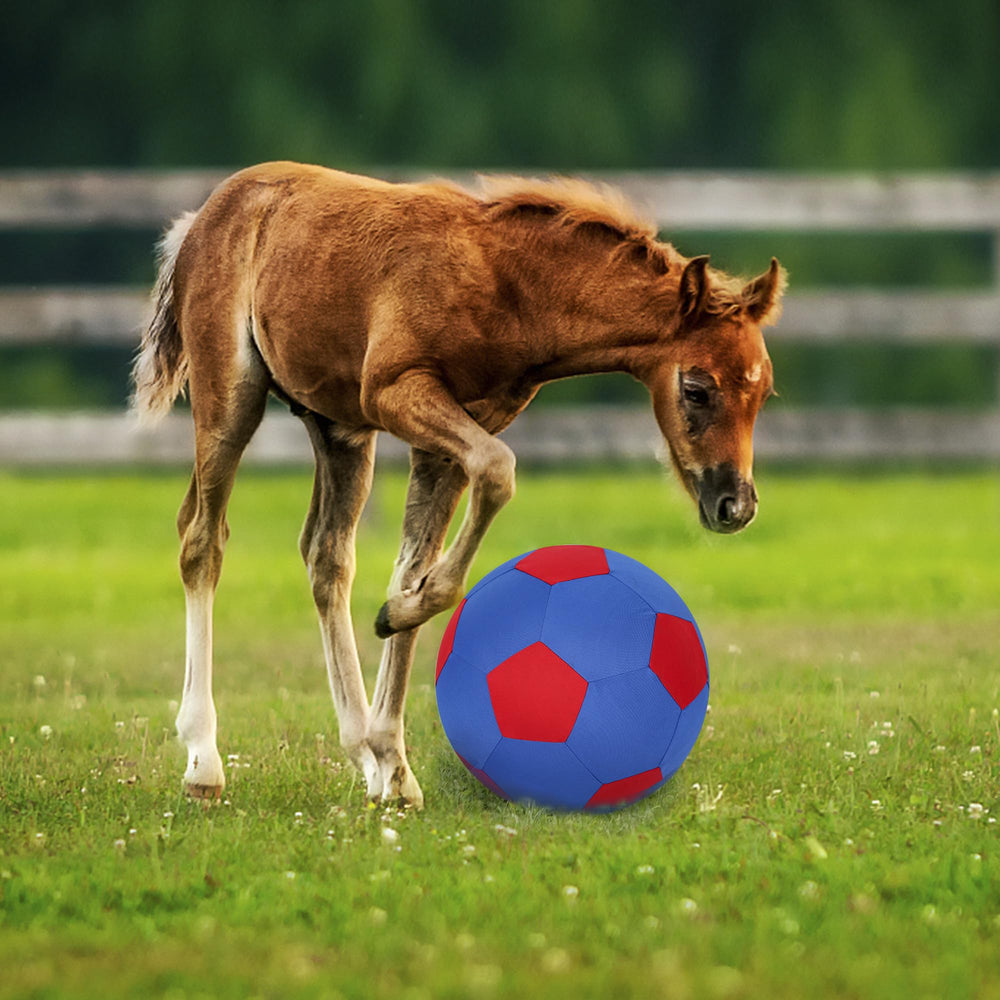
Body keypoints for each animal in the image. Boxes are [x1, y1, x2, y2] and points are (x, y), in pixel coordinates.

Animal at [131, 161, 785, 809]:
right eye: (697, 389)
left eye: (763, 394)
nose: (736, 505)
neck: (509, 287)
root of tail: (203, 216)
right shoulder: (398, 392)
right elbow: (497, 472)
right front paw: (396, 622)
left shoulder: (447, 438)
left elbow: (413, 566)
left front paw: (394, 756)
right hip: (231, 394)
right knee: (202, 539)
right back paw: (204, 761)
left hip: (339, 428)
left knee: (326, 555)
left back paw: (361, 752)